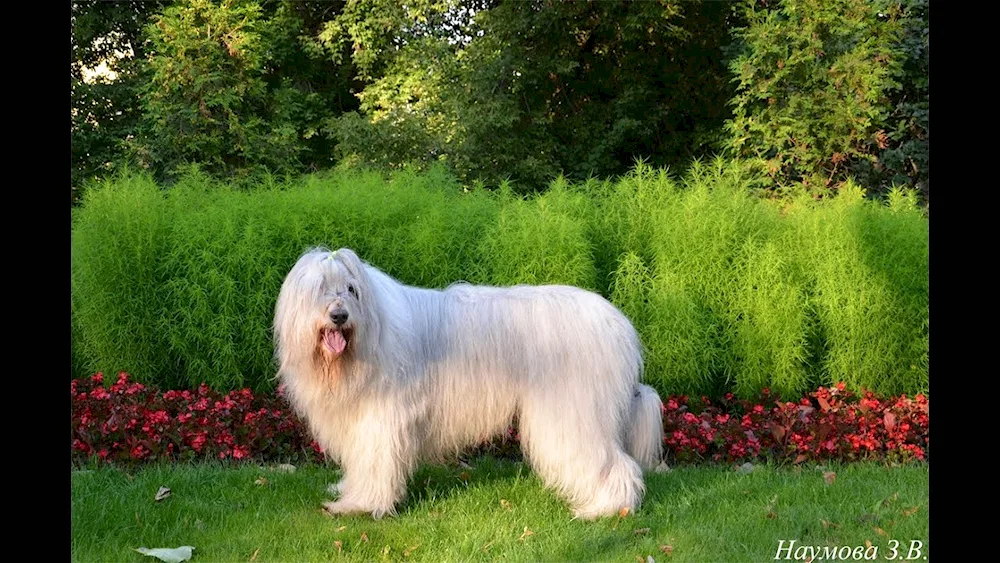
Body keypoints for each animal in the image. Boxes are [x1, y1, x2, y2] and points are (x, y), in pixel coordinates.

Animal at [274, 249, 664, 524]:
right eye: (320, 289)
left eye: (352, 289)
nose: (339, 315)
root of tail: (619, 324)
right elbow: (361, 464)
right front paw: (350, 495)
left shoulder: (381, 420)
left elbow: (375, 463)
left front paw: (362, 505)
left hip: (575, 411)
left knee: (613, 463)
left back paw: (606, 509)